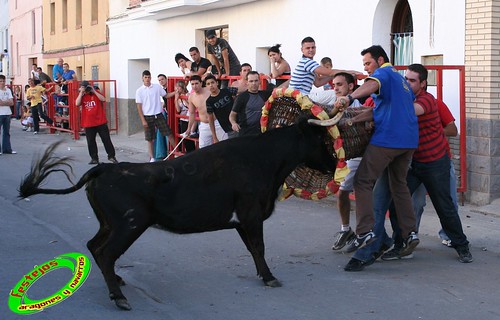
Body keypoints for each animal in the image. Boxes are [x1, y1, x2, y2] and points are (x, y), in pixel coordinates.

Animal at [18, 117, 336, 310]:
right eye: (324, 141)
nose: (334, 165)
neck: (264, 160)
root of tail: (105, 168)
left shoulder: (242, 221)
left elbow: (252, 248)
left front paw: (262, 274)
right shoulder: (251, 214)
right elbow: (259, 246)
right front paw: (270, 277)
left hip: (110, 223)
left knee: (94, 246)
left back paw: (117, 282)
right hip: (129, 224)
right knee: (106, 253)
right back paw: (119, 298)